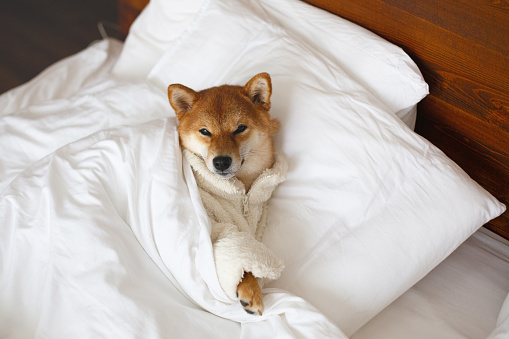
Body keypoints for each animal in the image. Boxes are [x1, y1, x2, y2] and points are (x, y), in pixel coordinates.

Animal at [168, 73, 284, 318]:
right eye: (205, 131)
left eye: (240, 128)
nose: (221, 161)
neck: (242, 193)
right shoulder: (214, 228)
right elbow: (238, 254)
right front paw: (251, 289)